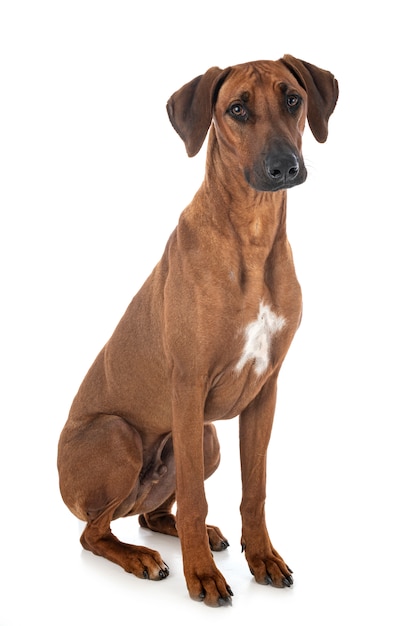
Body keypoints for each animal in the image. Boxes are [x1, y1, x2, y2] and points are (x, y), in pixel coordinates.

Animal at [57, 54, 338, 604]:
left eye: (293, 98)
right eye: (237, 110)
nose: (284, 167)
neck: (252, 236)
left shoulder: (265, 391)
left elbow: (255, 491)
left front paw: (262, 557)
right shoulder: (187, 387)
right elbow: (195, 497)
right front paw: (202, 575)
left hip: (206, 440)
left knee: (149, 514)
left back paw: (190, 536)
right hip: (120, 435)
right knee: (94, 531)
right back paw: (142, 557)